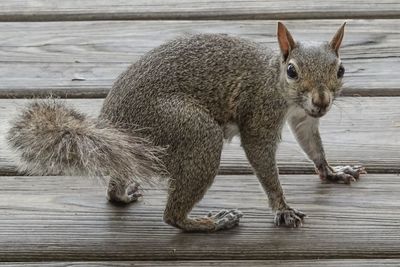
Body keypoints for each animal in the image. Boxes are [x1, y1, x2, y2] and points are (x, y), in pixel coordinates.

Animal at [7, 22, 366, 232]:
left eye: (341, 69)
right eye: (292, 71)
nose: (322, 101)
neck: (275, 82)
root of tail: (117, 132)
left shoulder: (303, 118)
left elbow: (312, 146)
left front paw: (333, 171)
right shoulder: (259, 114)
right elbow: (262, 159)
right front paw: (283, 208)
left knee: (116, 185)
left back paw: (123, 195)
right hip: (194, 133)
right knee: (172, 217)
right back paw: (210, 222)